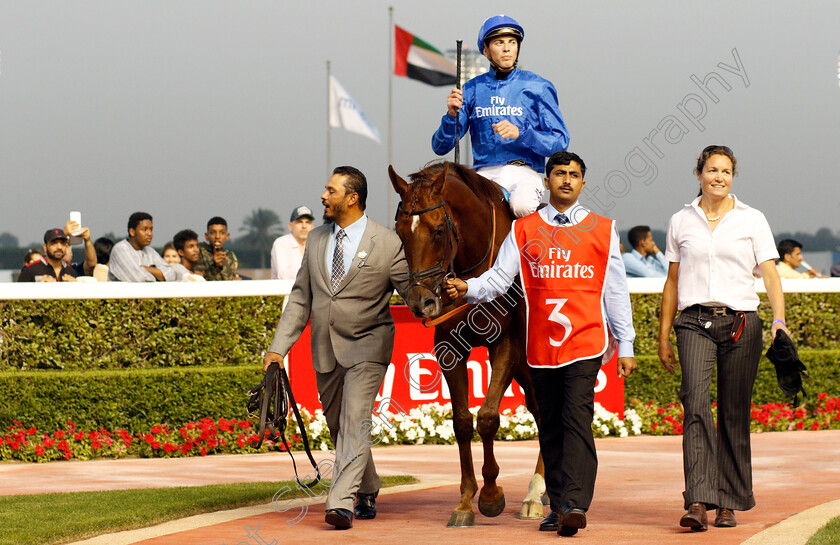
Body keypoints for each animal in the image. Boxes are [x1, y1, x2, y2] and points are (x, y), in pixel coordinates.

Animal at [388, 160, 544, 524]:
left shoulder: (507, 345)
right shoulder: (449, 349)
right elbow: (461, 421)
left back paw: (535, 493)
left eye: (438, 231)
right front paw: (465, 500)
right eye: (400, 231)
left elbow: (487, 417)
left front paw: (490, 494)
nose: (420, 302)